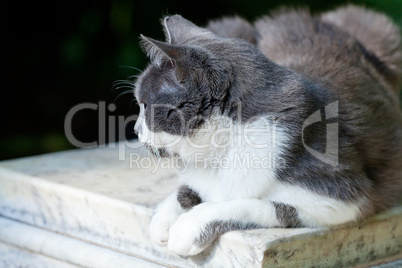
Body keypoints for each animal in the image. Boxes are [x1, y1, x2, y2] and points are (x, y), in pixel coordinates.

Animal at [133, 4, 402, 255]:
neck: (223, 144)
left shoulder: (342, 197)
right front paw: (164, 216)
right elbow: (190, 187)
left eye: (145, 105)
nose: (135, 129)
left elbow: (257, 204)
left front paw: (188, 227)